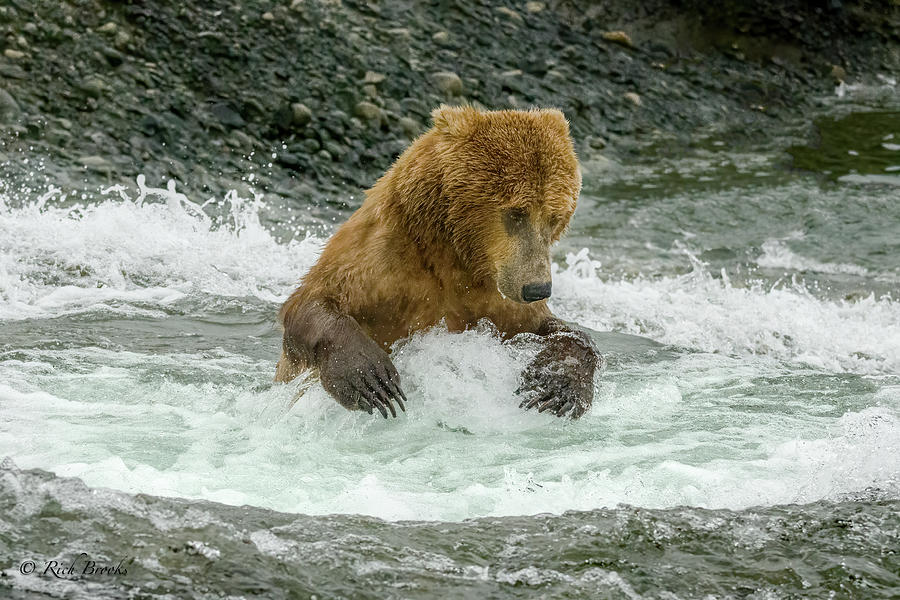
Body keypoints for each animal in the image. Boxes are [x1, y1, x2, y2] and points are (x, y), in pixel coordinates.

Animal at [274, 104, 596, 418]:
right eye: (516, 213)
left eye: (554, 217)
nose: (537, 289)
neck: (453, 253)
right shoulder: (379, 262)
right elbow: (312, 302)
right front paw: (369, 378)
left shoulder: (495, 298)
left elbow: (552, 328)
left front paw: (556, 383)